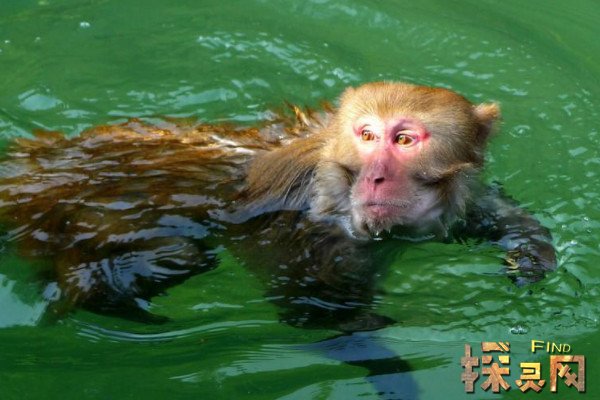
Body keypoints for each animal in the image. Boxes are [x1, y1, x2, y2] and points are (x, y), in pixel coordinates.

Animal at [0, 81, 556, 327]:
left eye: (404, 140)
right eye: (367, 135)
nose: (376, 177)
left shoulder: (449, 205)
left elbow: (490, 217)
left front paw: (530, 254)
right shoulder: (317, 236)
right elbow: (315, 311)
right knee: (181, 256)